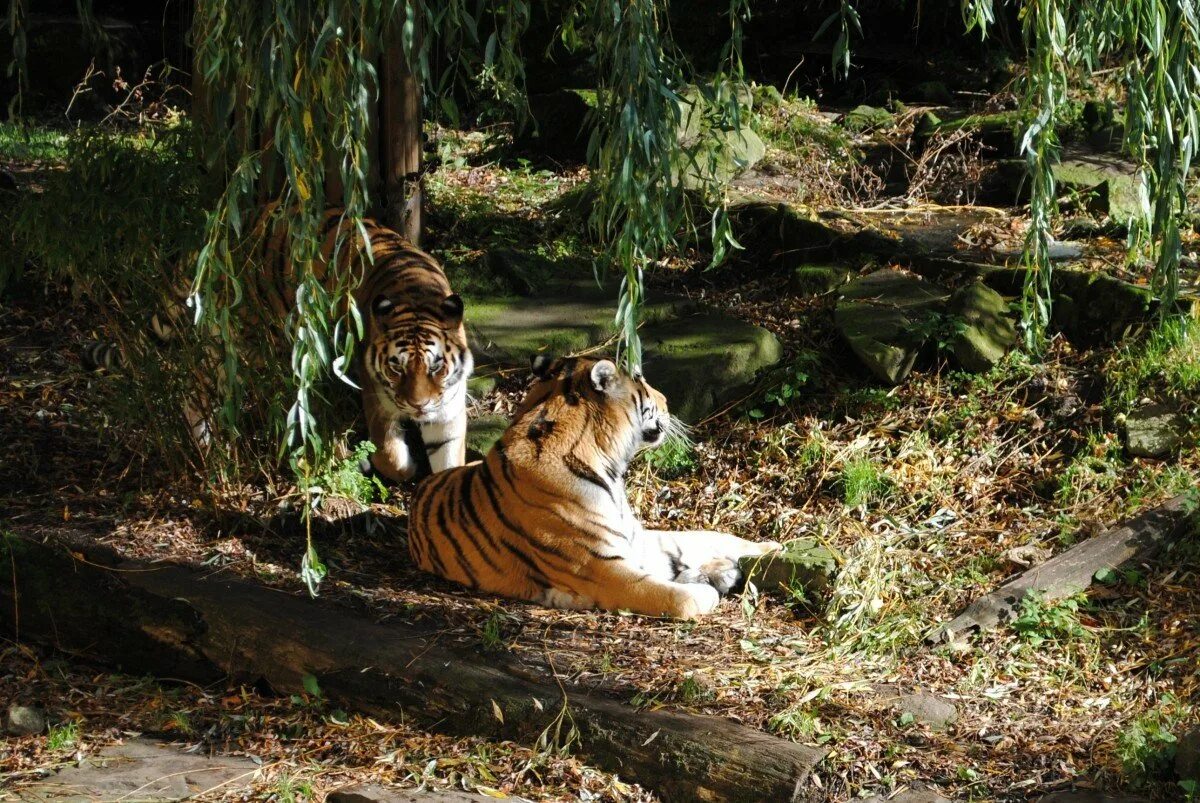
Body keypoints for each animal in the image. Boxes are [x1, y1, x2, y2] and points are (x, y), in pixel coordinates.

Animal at [405, 352, 777, 619]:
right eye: (643, 385)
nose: (667, 400)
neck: (609, 467)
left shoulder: (636, 540)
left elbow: (710, 537)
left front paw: (770, 547)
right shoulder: (602, 569)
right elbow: (674, 598)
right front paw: (706, 590)